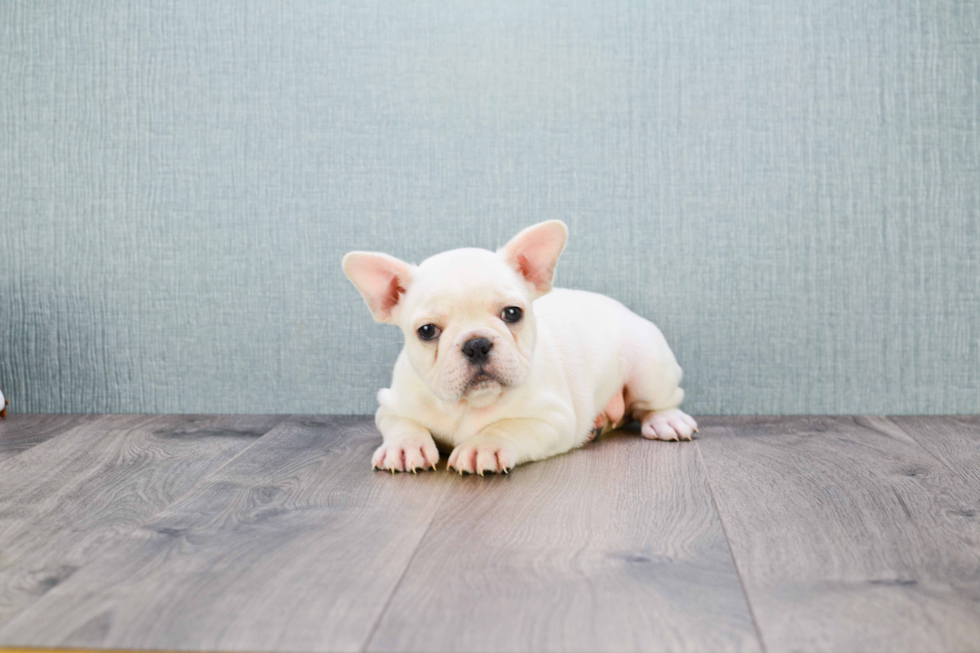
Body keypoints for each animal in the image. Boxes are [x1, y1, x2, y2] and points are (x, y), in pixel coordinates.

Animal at [344, 220, 696, 474]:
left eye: (512, 313)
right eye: (427, 331)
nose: (476, 344)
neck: (468, 406)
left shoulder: (553, 419)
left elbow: (508, 426)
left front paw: (483, 446)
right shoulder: (391, 405)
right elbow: (402, 423)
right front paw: (405, 446)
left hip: (648, 367)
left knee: (659, 401)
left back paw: (667, 421)